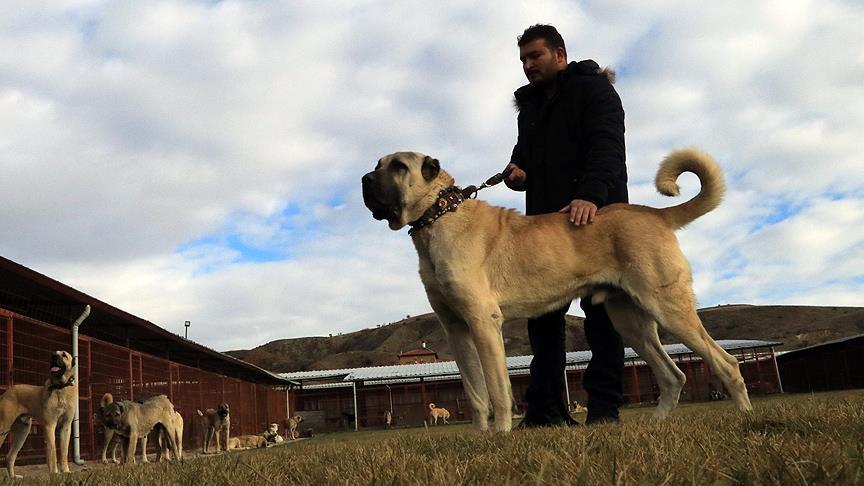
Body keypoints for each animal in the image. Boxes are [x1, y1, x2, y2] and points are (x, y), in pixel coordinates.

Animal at [362, 150, 752, 430]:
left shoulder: (483, 322)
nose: (364, 179)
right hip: (631, 322)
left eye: (398, 166)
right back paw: (652, 426)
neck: (438, 216)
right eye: (377, 164)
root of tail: (656, 214)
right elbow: (475, 393)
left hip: (668, 307)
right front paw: (481, 438)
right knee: (674, 376)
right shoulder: (456, 329)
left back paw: (746, 419)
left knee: (727, 363)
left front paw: (500, 438)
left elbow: (497, 388)